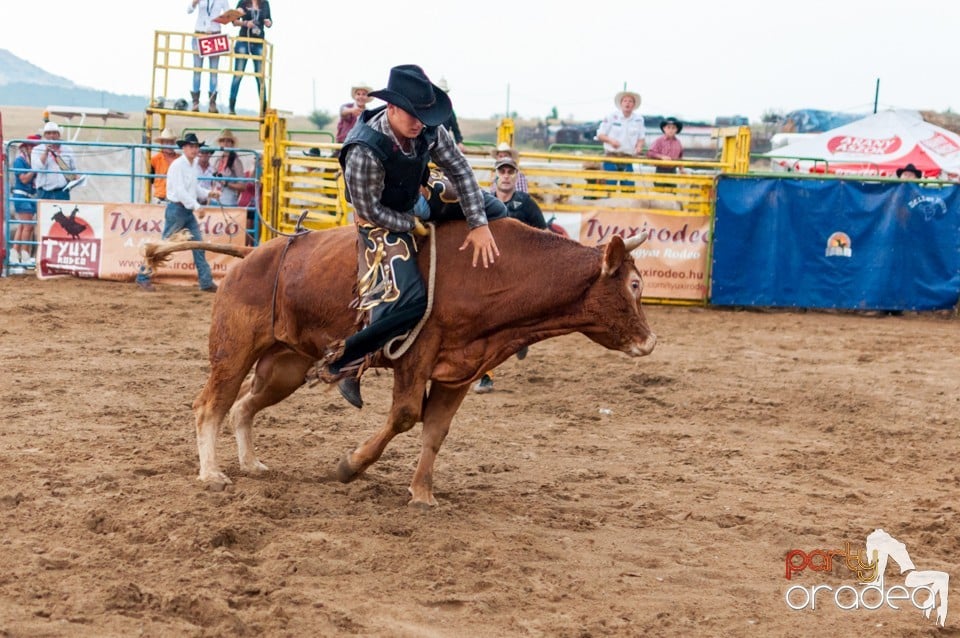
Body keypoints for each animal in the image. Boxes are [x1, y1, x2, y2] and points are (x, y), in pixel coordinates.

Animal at [184, 220, 656, 510]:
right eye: (634, 284)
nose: (650, 341)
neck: (494, 272)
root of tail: (249, 255)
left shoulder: (460, 370)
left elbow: (435, 431)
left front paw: (422, 494)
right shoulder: (415, 355)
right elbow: (406, 416)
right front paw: (350, 466)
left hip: (287, 366)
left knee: (243, 406)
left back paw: (251, 464)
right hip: (234, 349)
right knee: (211, 405)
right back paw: (212, 473)